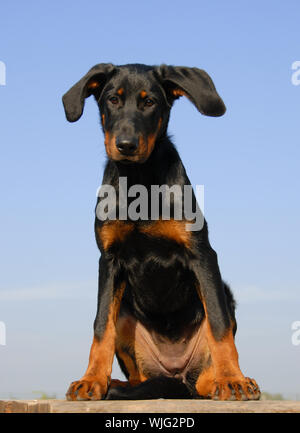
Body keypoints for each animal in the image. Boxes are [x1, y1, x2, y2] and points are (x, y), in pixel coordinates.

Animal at [62, 62, 260, 400]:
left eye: (150, 102)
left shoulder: (202, 254)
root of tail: (175, 374)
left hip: (224, 296)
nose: (126, 146)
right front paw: (91, 380)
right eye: (112, 99)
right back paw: (115, 384)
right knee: (138, 376)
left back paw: (220, 381)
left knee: (203, 379)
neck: (139, 180)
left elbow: (219, 324)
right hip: (127, 312)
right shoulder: (108, 260)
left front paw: (232, 379)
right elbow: (101, 326)